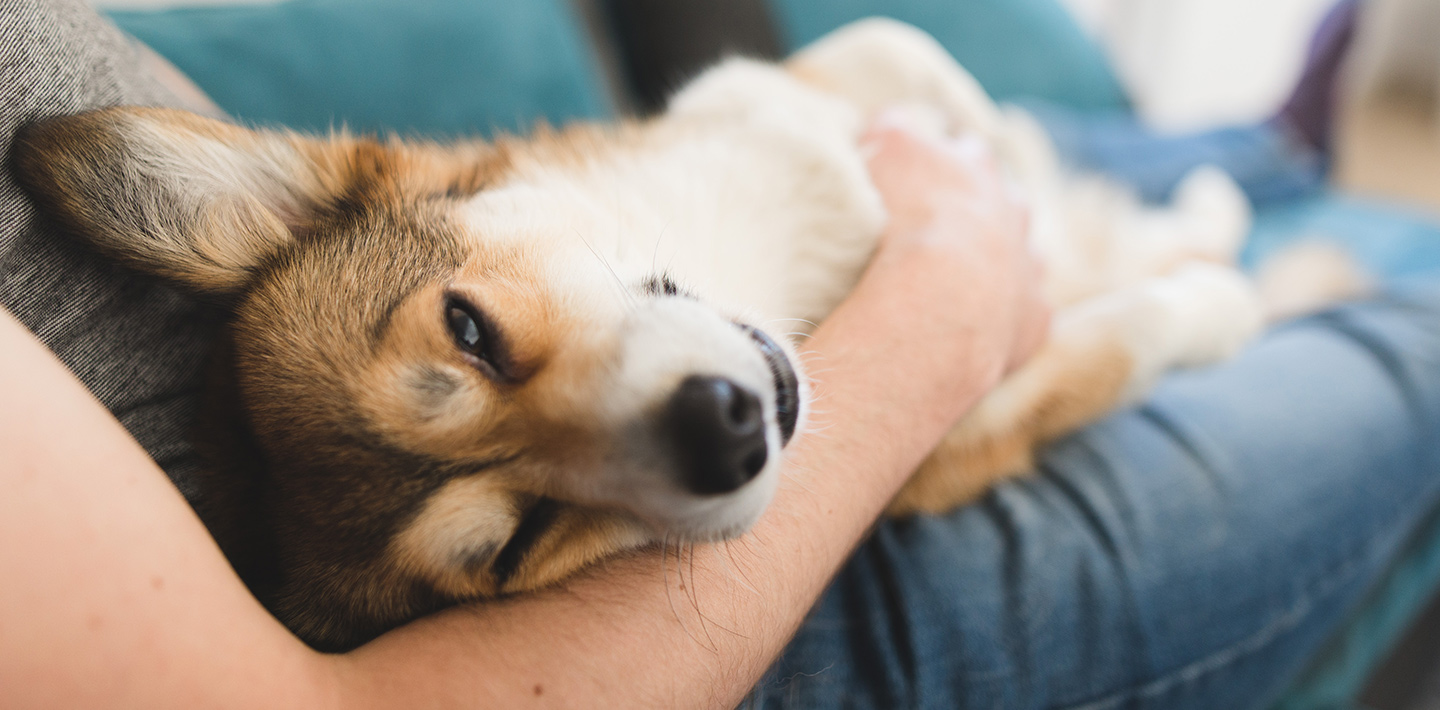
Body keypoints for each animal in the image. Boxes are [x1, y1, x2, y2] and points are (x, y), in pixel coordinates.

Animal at [11, 18, 1272, 648]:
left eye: (470, 328)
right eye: (516, 543)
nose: (725, 432)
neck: (770, 276)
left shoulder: (814, 83)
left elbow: (942, 90)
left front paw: (1044, 195)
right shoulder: (974, 431)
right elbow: (1124, 334)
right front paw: (1213, 307)